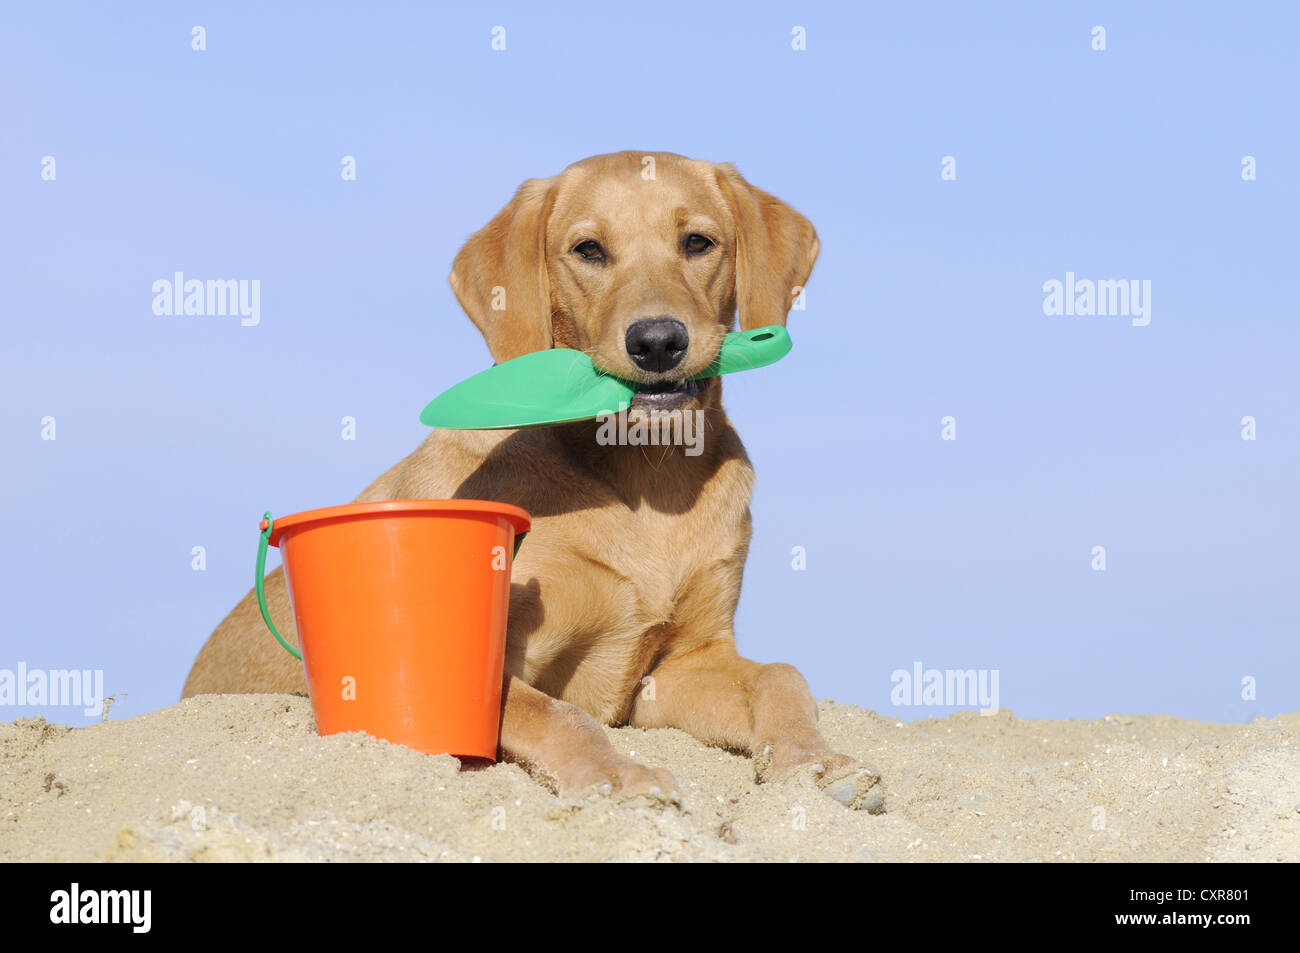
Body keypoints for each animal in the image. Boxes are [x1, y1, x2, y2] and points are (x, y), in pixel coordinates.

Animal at [183, 148, 883, 811]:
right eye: (589, 250)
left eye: (697, 242)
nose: (658, 341)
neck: (643, 479)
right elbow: (557, 712)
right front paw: (616, 774)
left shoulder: (678, 664)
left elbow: (782, 674)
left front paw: (816, 761)